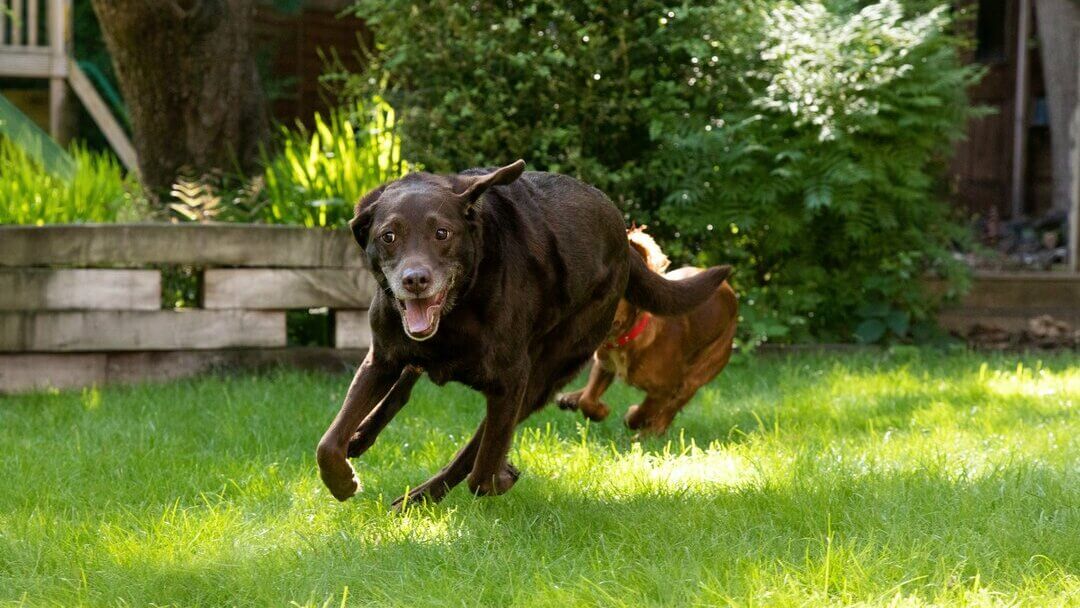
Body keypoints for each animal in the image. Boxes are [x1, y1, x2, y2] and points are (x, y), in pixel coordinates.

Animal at [557, 225, 743, 436]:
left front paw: (634, 417)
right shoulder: (603, 364)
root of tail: (728, 289)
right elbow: (587, 399)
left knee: (672, 407)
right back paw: (570, 397)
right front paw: (596, 409)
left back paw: (651, 431)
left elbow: (646, 409)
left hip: (701, 371)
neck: (624, 340)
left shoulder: (666, 387)